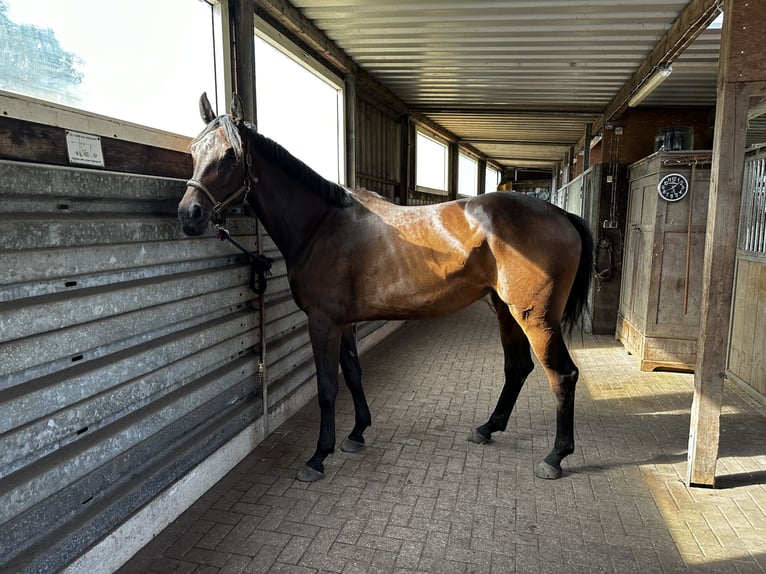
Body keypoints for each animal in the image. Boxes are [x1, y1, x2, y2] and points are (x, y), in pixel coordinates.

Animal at [178, 92, 592, 484]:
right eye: (194, 150)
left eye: (230, 155)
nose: (189, 215)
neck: (321, 225)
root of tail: (561, 214)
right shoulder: (343, 323)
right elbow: (352, 373)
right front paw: (357, 433)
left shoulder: (323, 323)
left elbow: (327, 388)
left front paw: (318, 456)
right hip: (507, 310)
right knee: (517, 367)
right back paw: (488, 427)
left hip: (536, 318)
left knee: (562, 375)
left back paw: (555, 457)